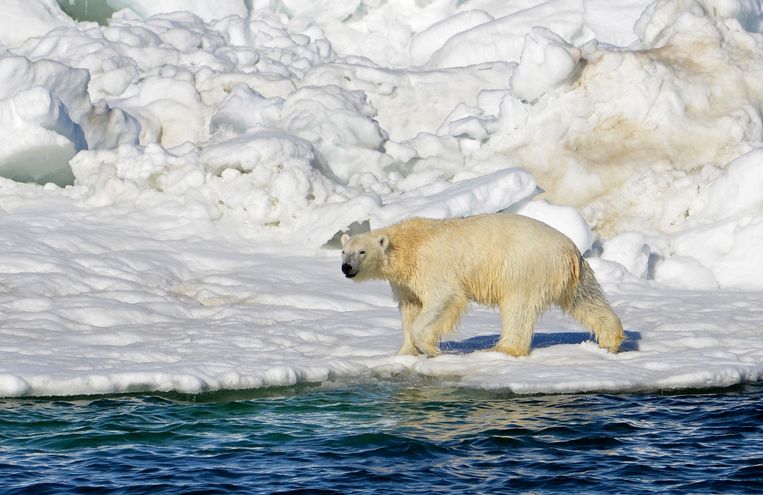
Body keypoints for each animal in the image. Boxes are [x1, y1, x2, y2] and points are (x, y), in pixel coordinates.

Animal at [344, 213, 624, 356]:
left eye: (362, 251)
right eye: (344, 251)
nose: (345, 267)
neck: (409, 245)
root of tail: (569, 249)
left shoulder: (433, 266)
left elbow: (444, 298)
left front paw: (430, 348)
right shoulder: (405, 282)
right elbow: (410, 308)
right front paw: (404, 352)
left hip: (525, 268)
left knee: (518, 308)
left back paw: (503, 348)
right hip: (573, 274)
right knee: (586, 300)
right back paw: (611, 340)